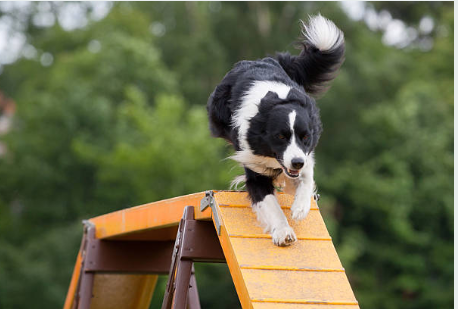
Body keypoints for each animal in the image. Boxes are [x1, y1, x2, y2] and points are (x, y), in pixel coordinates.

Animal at [208, 15, 344, 245]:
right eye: (280, 136)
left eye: (305, 137)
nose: (296, 162)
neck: (280, 100)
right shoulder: (252, 162)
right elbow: (269, 202)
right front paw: (283, 232)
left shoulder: (305, 155)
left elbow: (306, 177)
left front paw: (300, 208)